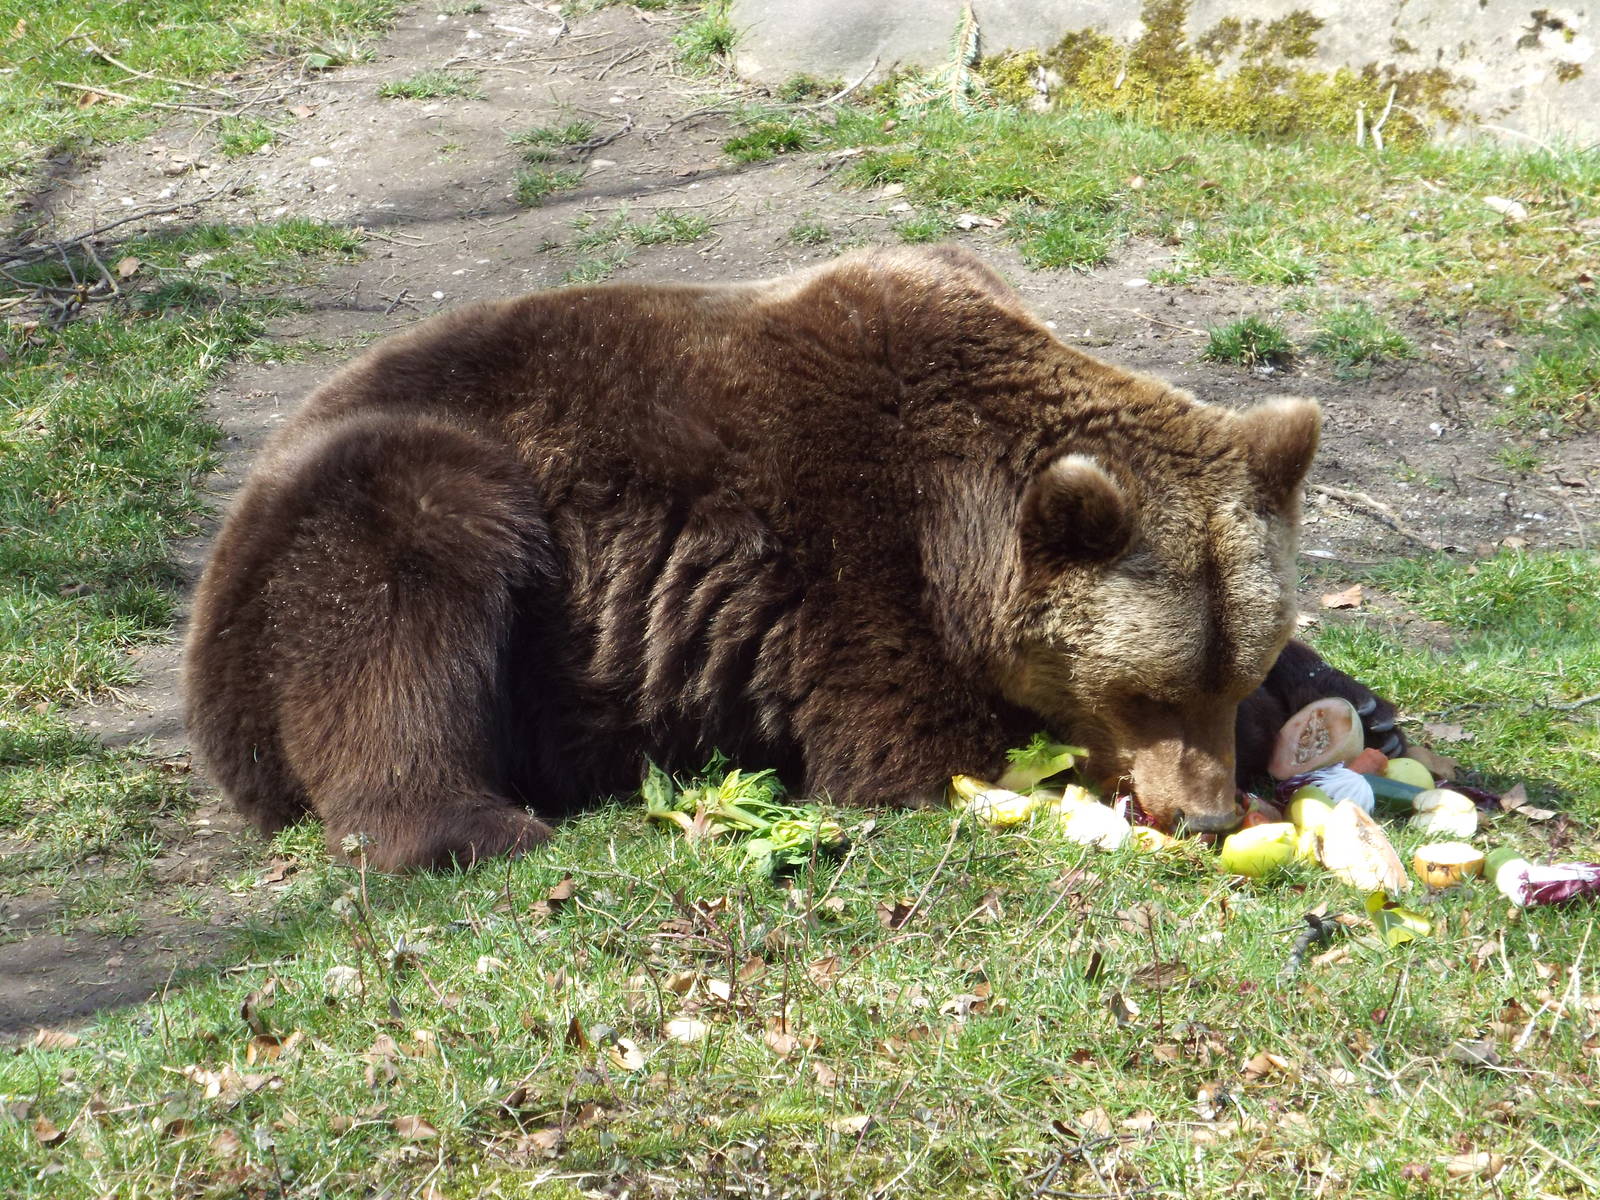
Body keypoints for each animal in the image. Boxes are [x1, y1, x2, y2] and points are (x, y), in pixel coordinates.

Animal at [184, 245, 1402, 871]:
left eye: (1234, 668)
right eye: (1140, 691)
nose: (1200, 812)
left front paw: (1344, 704)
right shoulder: (844, 564)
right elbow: (914, 747)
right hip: (397, 505)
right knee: (399, 608)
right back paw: (466, 826)